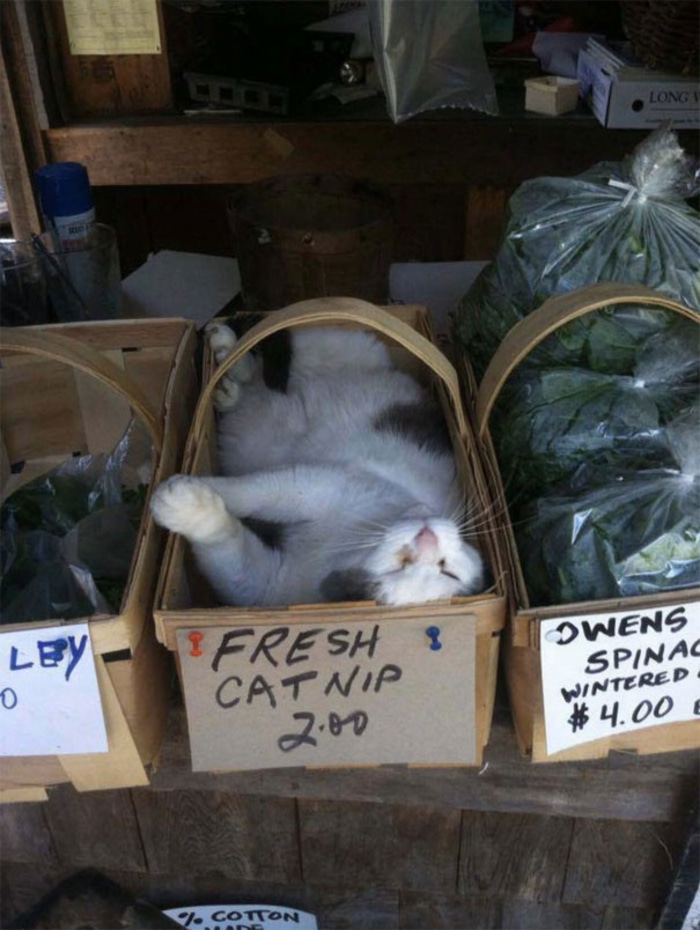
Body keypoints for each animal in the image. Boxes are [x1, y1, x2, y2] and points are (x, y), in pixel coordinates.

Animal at [150, 320, 484, 608]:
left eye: (446, 571)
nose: (427, 538)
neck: (343, 543)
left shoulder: (268, 586)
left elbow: (231, 551)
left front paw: (186, 506)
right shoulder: (322, 485)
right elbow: (255, 491)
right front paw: (198, 495)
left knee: (255, 390)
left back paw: (229, 390)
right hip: (346, 346)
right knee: (266, 358)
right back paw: (226, 351)